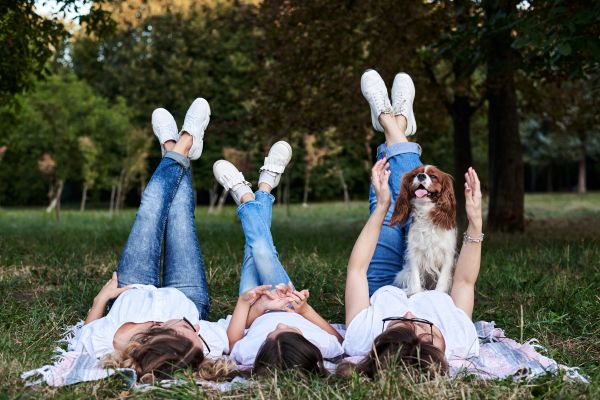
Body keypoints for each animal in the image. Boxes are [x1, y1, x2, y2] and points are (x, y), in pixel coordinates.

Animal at [392, 164, 458, 296]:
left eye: (433, 176)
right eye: (414, 175)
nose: (421, 175)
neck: (426, 212)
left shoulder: (447, 256)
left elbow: (442, 281)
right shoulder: (414, 253)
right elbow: (415, 280)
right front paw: (415, 293)